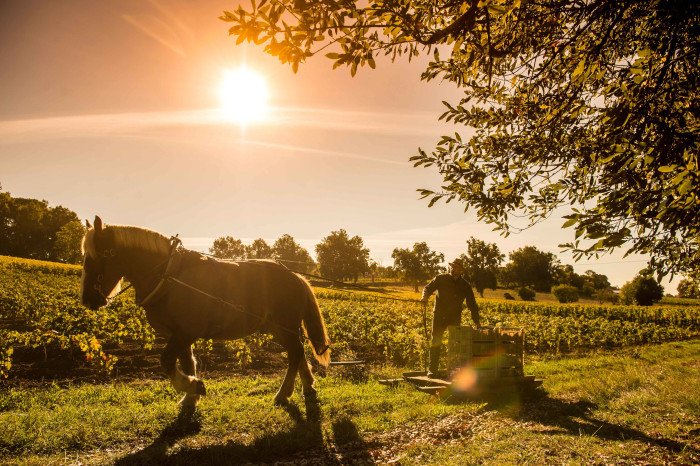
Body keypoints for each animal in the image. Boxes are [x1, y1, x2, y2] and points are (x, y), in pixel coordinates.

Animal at [80, 217, 332, 406]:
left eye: (97, 256)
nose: (87, 300)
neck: (169, 275)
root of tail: (295, 276)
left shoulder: (186, 332)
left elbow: (167, 360)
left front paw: (194, 386)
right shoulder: (177, 334)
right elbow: (187, 362)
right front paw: (190, 397)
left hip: (285, 325)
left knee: (295, 354)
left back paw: (283, 394)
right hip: (277, 327)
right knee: (298, 352)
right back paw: (308, 387)